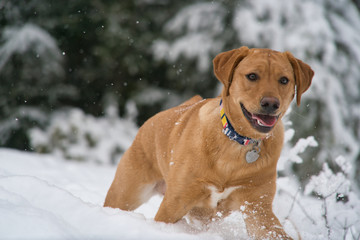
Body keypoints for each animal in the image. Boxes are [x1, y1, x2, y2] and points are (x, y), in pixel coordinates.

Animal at [104, 46, 312, 239]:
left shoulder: (258, 207)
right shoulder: (175, 202)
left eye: (284, 80)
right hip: (125, 193)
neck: (238, 142)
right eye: (252, 76)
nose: (271, 103)